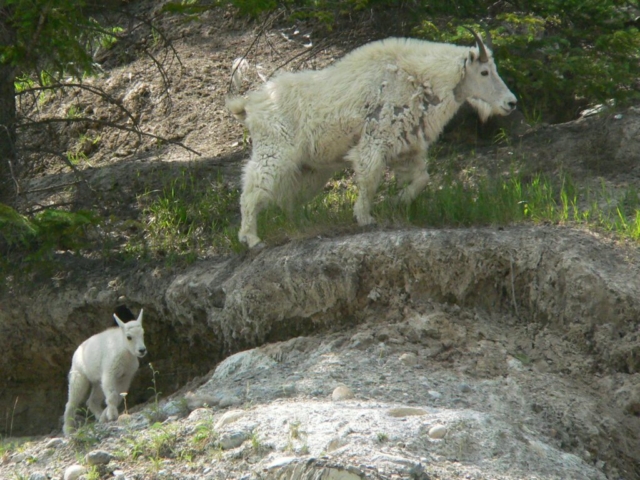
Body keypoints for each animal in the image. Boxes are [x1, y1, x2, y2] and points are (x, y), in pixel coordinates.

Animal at [62, 308, 146, 436]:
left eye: (143, 333)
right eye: (129, 337)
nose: (142, 350)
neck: (125, 353)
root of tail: (77, 350)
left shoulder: (125, 377)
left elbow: (118, 396)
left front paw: (105, 415)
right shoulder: (109, 373)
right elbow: (112, 395)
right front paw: (111, 415)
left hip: (97, 382)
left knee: (91, 401)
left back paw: (99, 416)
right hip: (79, 376)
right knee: (71, 402)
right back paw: (68, 429)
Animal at [228, 30, 516, 248]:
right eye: (484, 72)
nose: (511, 103)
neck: (421, 79)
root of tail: (249, 105)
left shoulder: (407, 147)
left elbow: (422, 179)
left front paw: (397, 201)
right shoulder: (376, 141)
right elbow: (369, 178)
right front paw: (365, 218)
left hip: (307, 169)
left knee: (285, 197)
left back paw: (297, 225)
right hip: (274, 151)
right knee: (252, 188)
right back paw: (250, 238)